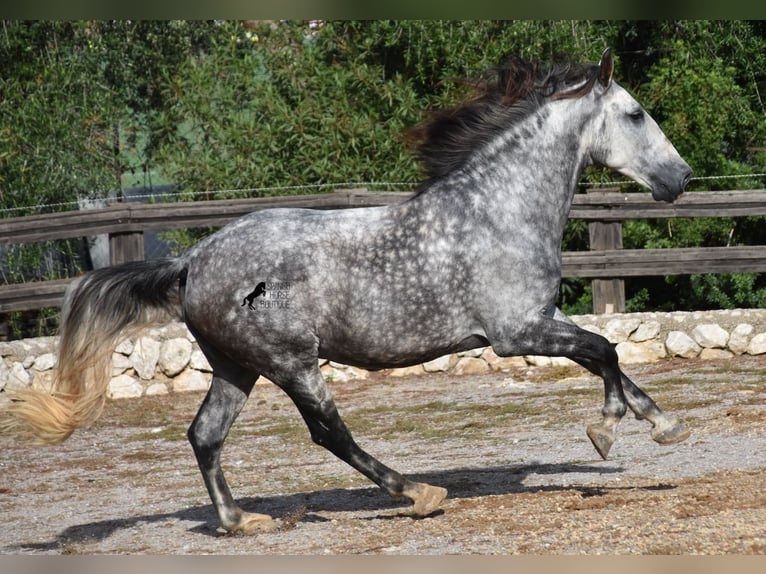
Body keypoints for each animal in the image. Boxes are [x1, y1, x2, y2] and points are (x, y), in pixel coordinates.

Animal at [1, 48, 696, 536]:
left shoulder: (540, 322)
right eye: (635, 113)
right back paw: (416, 493)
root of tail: (193, 261)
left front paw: (664, 425)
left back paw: (240, 521)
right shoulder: (518, 332)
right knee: (328, 432)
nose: (682, 178)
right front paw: (609, 429)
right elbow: (604, 350)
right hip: (292, 361)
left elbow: (612, 358)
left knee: (205, 435)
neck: (496, 211)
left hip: (236, 367)